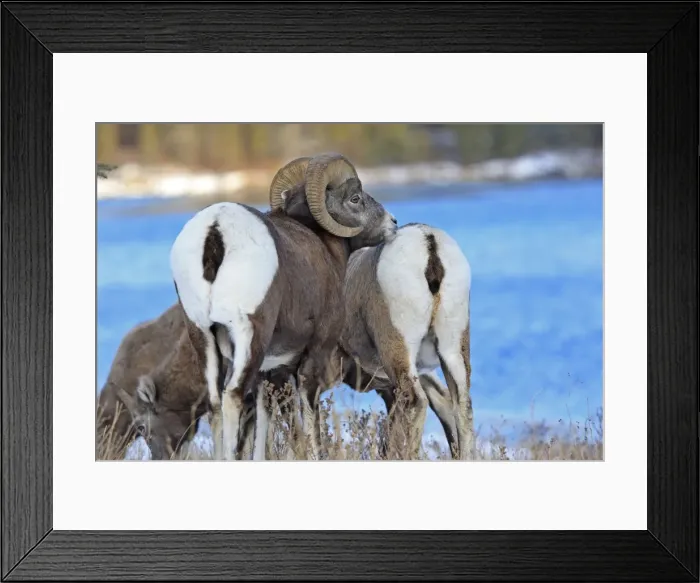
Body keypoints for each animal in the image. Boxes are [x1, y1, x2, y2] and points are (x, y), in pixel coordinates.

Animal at [169, 153, 397, 460]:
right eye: (355, 198)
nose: (393, 222)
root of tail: (215, 231)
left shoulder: (270, 370)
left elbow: (264, 422)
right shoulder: (313, 356)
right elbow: (309, 423)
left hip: (202, 336)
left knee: (216, 403)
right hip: (249, 335)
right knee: (233, 396)